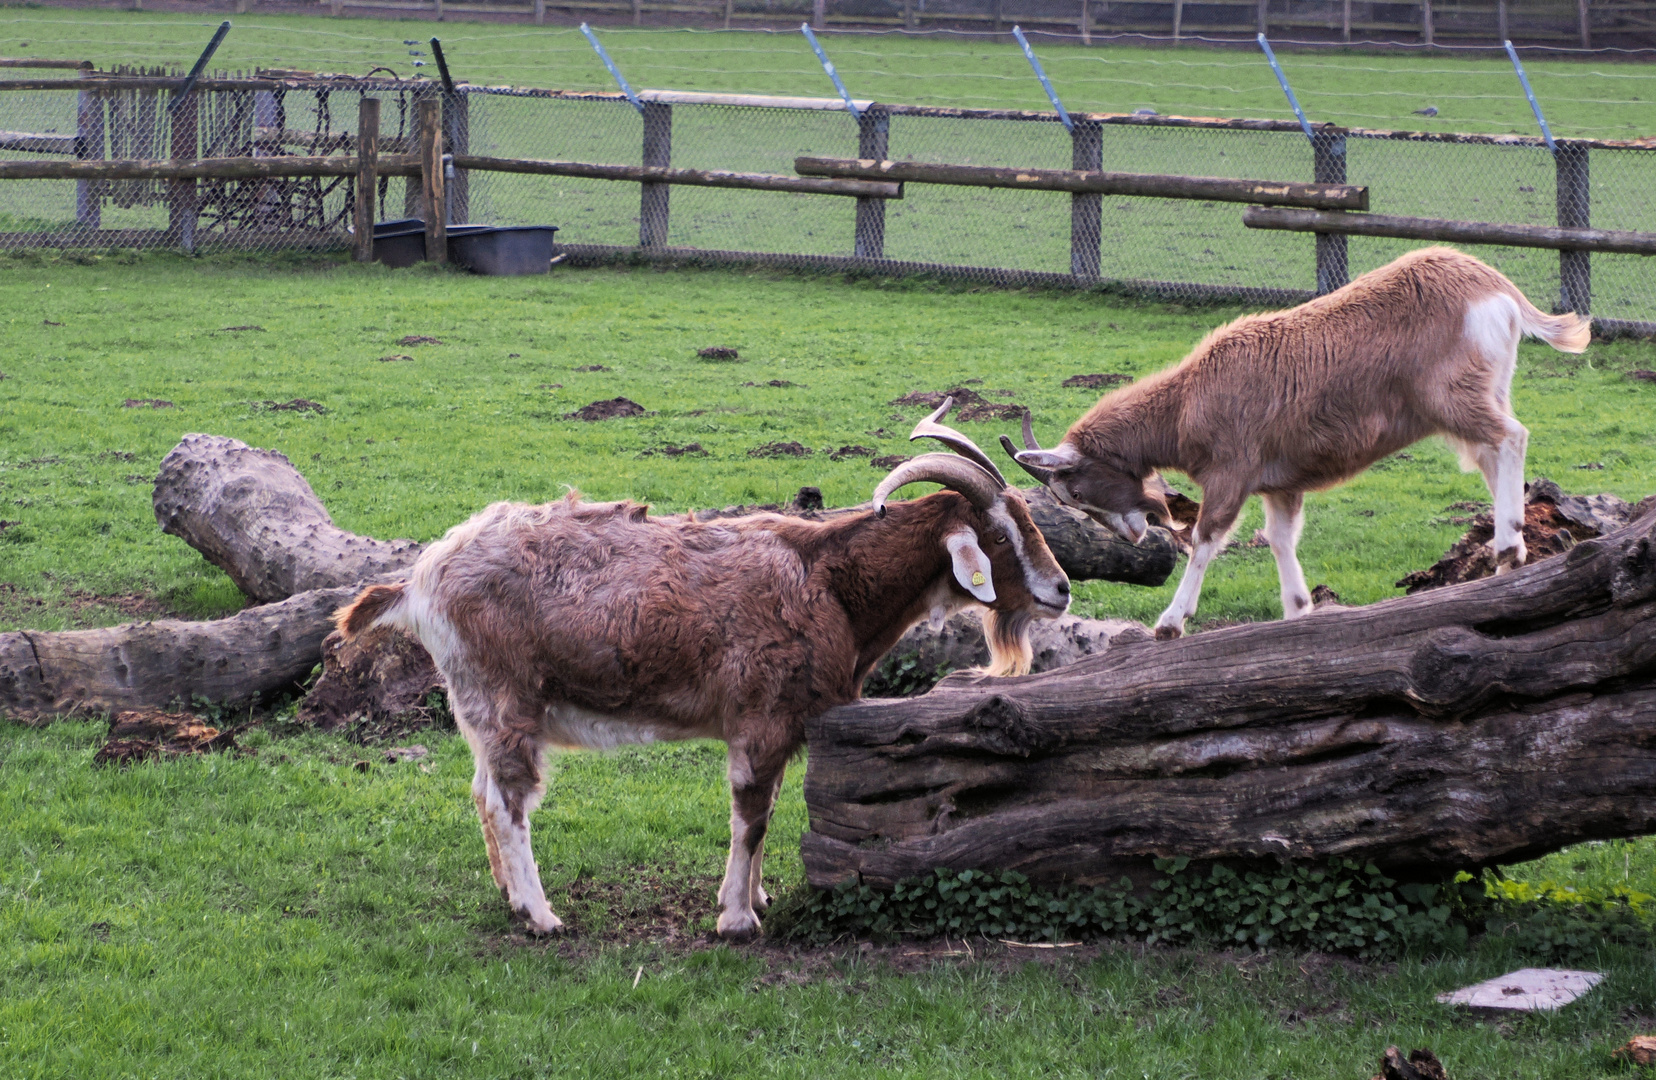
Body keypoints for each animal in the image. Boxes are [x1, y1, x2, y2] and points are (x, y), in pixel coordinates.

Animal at [332, 404, 1073, 934]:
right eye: (999, 532)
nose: (1061, 590)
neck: (827, 580)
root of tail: (421, 578)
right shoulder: (762, 717)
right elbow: (751, 814)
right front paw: (736, 919)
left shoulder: (784, 724)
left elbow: (770, 808)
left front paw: (760, 897)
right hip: (503, 695)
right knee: (509, 799)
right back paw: (543, 917)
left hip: (477, 706)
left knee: (483, 790)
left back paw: (511, 899)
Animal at [1000, 248, 1596, 636]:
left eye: (1075, 492)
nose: (1132, 535)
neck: (1190, 396)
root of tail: (1496, 288)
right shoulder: (1280, 484)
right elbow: (1281, 538)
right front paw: (1297, 610)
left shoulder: (1232, 471)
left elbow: (1207, 538)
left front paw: (1171, 622)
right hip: (1485, 391)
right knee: (1493, 453)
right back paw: (1507, 550)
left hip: (1454, 397)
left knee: (1511, 436)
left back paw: (1510, 543)